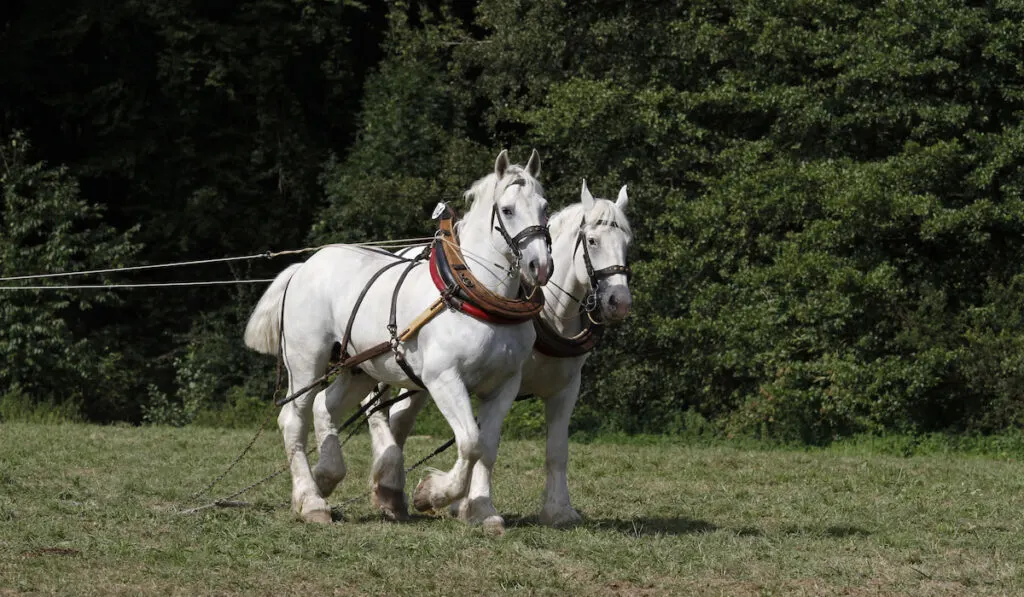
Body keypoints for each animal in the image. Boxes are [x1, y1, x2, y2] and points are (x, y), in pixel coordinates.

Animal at [242, 150, 552, 532]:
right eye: (507, 210)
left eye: (545, 207)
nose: (541, 266)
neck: (476, 296)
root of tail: (303, 267)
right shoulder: (444, 379)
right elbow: (470, 442)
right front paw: (433, 494)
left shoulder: (504, 385)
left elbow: (489, 448)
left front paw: (482, 510)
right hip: (305, 363)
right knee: (293, 420)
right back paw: (312, 501)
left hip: (358, 369)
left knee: (325, 407)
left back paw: (325, 476)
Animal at [360, 180, 630, 524]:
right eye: (593, 241)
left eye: (627, 242)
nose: (619, 302)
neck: (550, 316)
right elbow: (486, 443)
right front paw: (471, 505)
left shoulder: (565, 387)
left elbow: (557, 450)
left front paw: (559, 510)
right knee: (376, 412)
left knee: (399, 421)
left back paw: (390, 490)